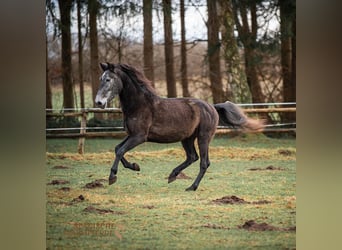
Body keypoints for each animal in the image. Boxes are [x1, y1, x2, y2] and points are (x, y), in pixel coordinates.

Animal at [95, 63, 264, 191]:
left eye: (108, 79)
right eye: (100, 79)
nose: (98, 102)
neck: (139, 105)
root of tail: (212, 107)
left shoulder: (139, 136)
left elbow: (120, 151)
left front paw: (112, 177)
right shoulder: (131, 134)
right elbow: (117, 149)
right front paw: (135, 166)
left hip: (203, 137)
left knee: (204, 162)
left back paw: (191, 187)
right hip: (187, 138)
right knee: (192, 157)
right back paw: (172, 176)